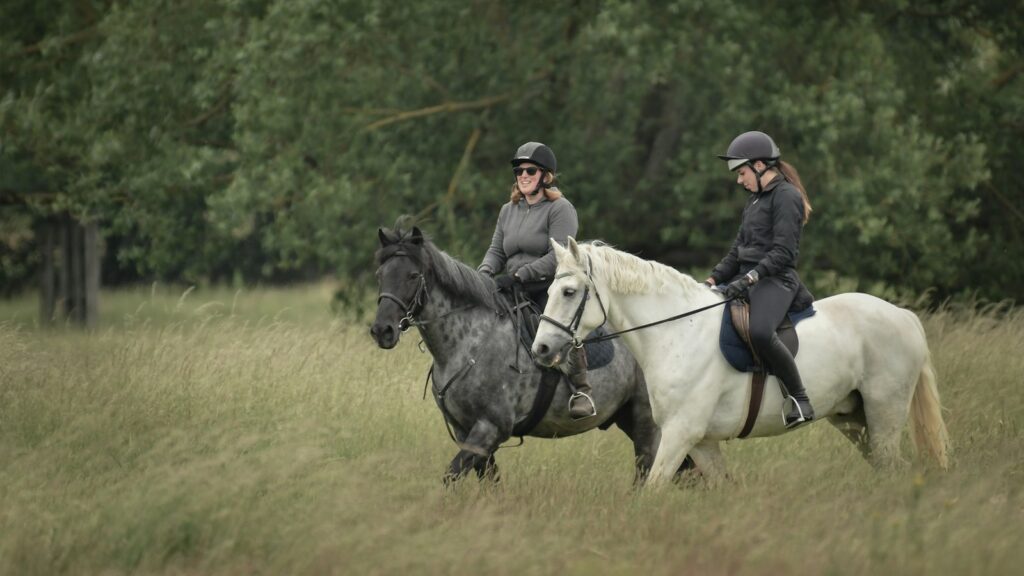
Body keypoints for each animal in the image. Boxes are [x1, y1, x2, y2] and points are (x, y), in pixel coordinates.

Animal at [371, 226, 691, 484]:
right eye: (380, 274)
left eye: (413, 275)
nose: (381, 330)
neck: (470, 343)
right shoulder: (467, 431)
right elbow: (488, 482)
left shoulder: (489, 429)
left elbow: (451, 475)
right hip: (628, 418)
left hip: (647, 422)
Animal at [531, 237, 951, 486]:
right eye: (549, 290)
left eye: (569, 292)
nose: (541, 350)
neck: (677, 332)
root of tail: (903, 315)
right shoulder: (700, 442)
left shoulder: (679, 434)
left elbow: (653, 488)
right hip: (854, 419)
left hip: (884, 415)